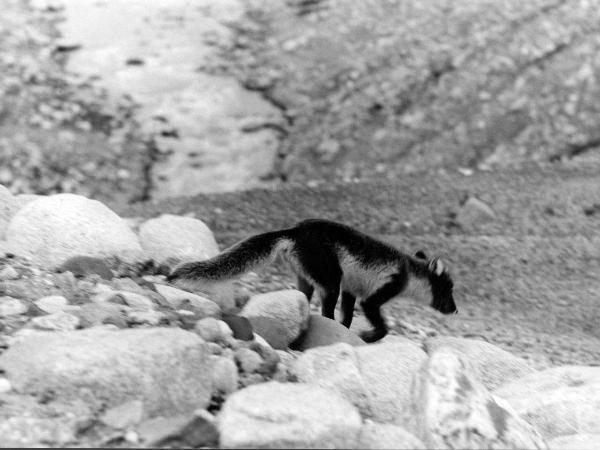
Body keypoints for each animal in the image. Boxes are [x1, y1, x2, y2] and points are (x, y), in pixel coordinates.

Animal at [166, 218, 458, 342]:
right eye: (449, 289)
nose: (455, 310)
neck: (408, 269)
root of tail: (295, 230)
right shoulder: (377, 294)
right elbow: (380, 324)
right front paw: (369, 336)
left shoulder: (352, 290)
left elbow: (348, 315)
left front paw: (348, 332)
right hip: (330, 281)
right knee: (326, 308)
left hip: (308, 278)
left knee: (304, 300)